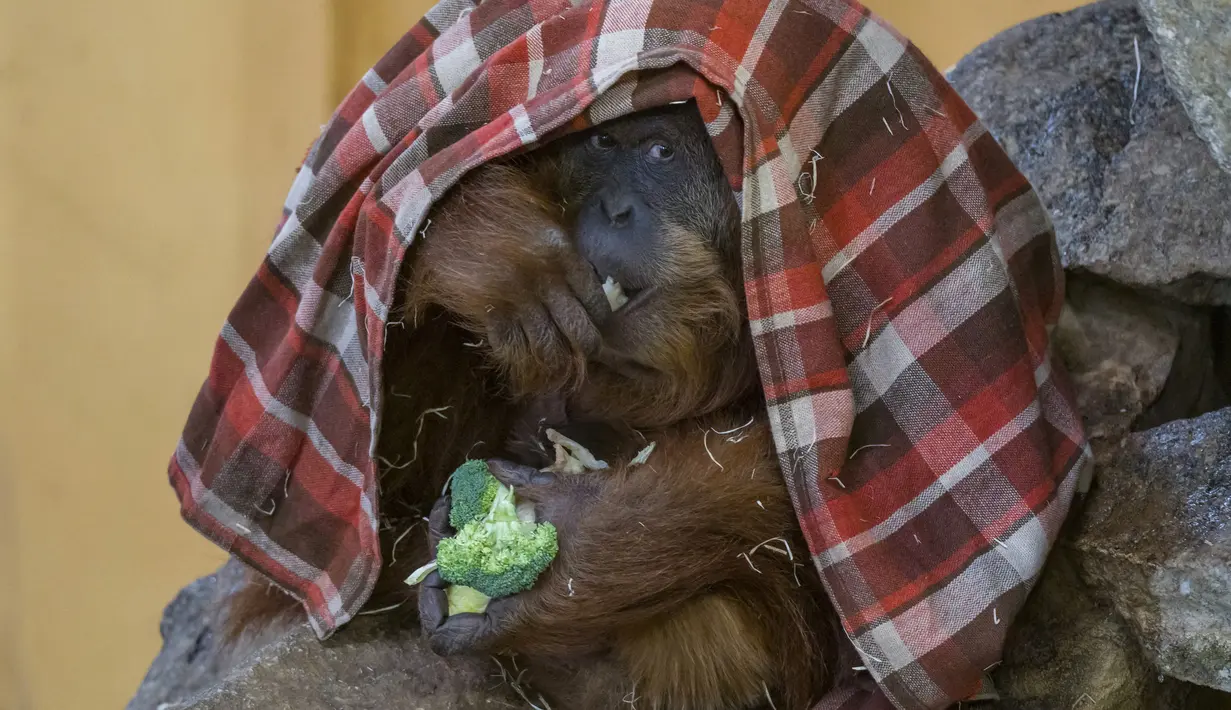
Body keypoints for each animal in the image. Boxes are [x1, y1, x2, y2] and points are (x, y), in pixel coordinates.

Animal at [227, 102, 850, 709]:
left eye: (661, 152)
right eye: (602, 143)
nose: (614, 210)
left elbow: (812, 478)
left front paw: (583, 545)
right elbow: (374, 485)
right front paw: (501, 255)